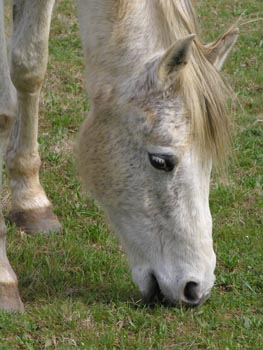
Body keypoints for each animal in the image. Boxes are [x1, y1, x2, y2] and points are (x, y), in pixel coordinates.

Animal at [0, 0, 239, 312]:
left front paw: (31, 200)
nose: (196, 288)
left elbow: (30, 69)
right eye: (161, 161)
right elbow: (4, 113)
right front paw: (4, 280)